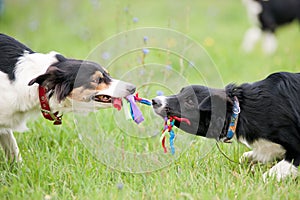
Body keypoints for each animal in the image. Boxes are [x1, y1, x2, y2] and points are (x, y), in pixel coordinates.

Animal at [154, 72, 298, 181]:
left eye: (189, 101)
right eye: (180, 92)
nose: (155, 101)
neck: (239, 112)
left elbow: (269, 175)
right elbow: (246, 156)